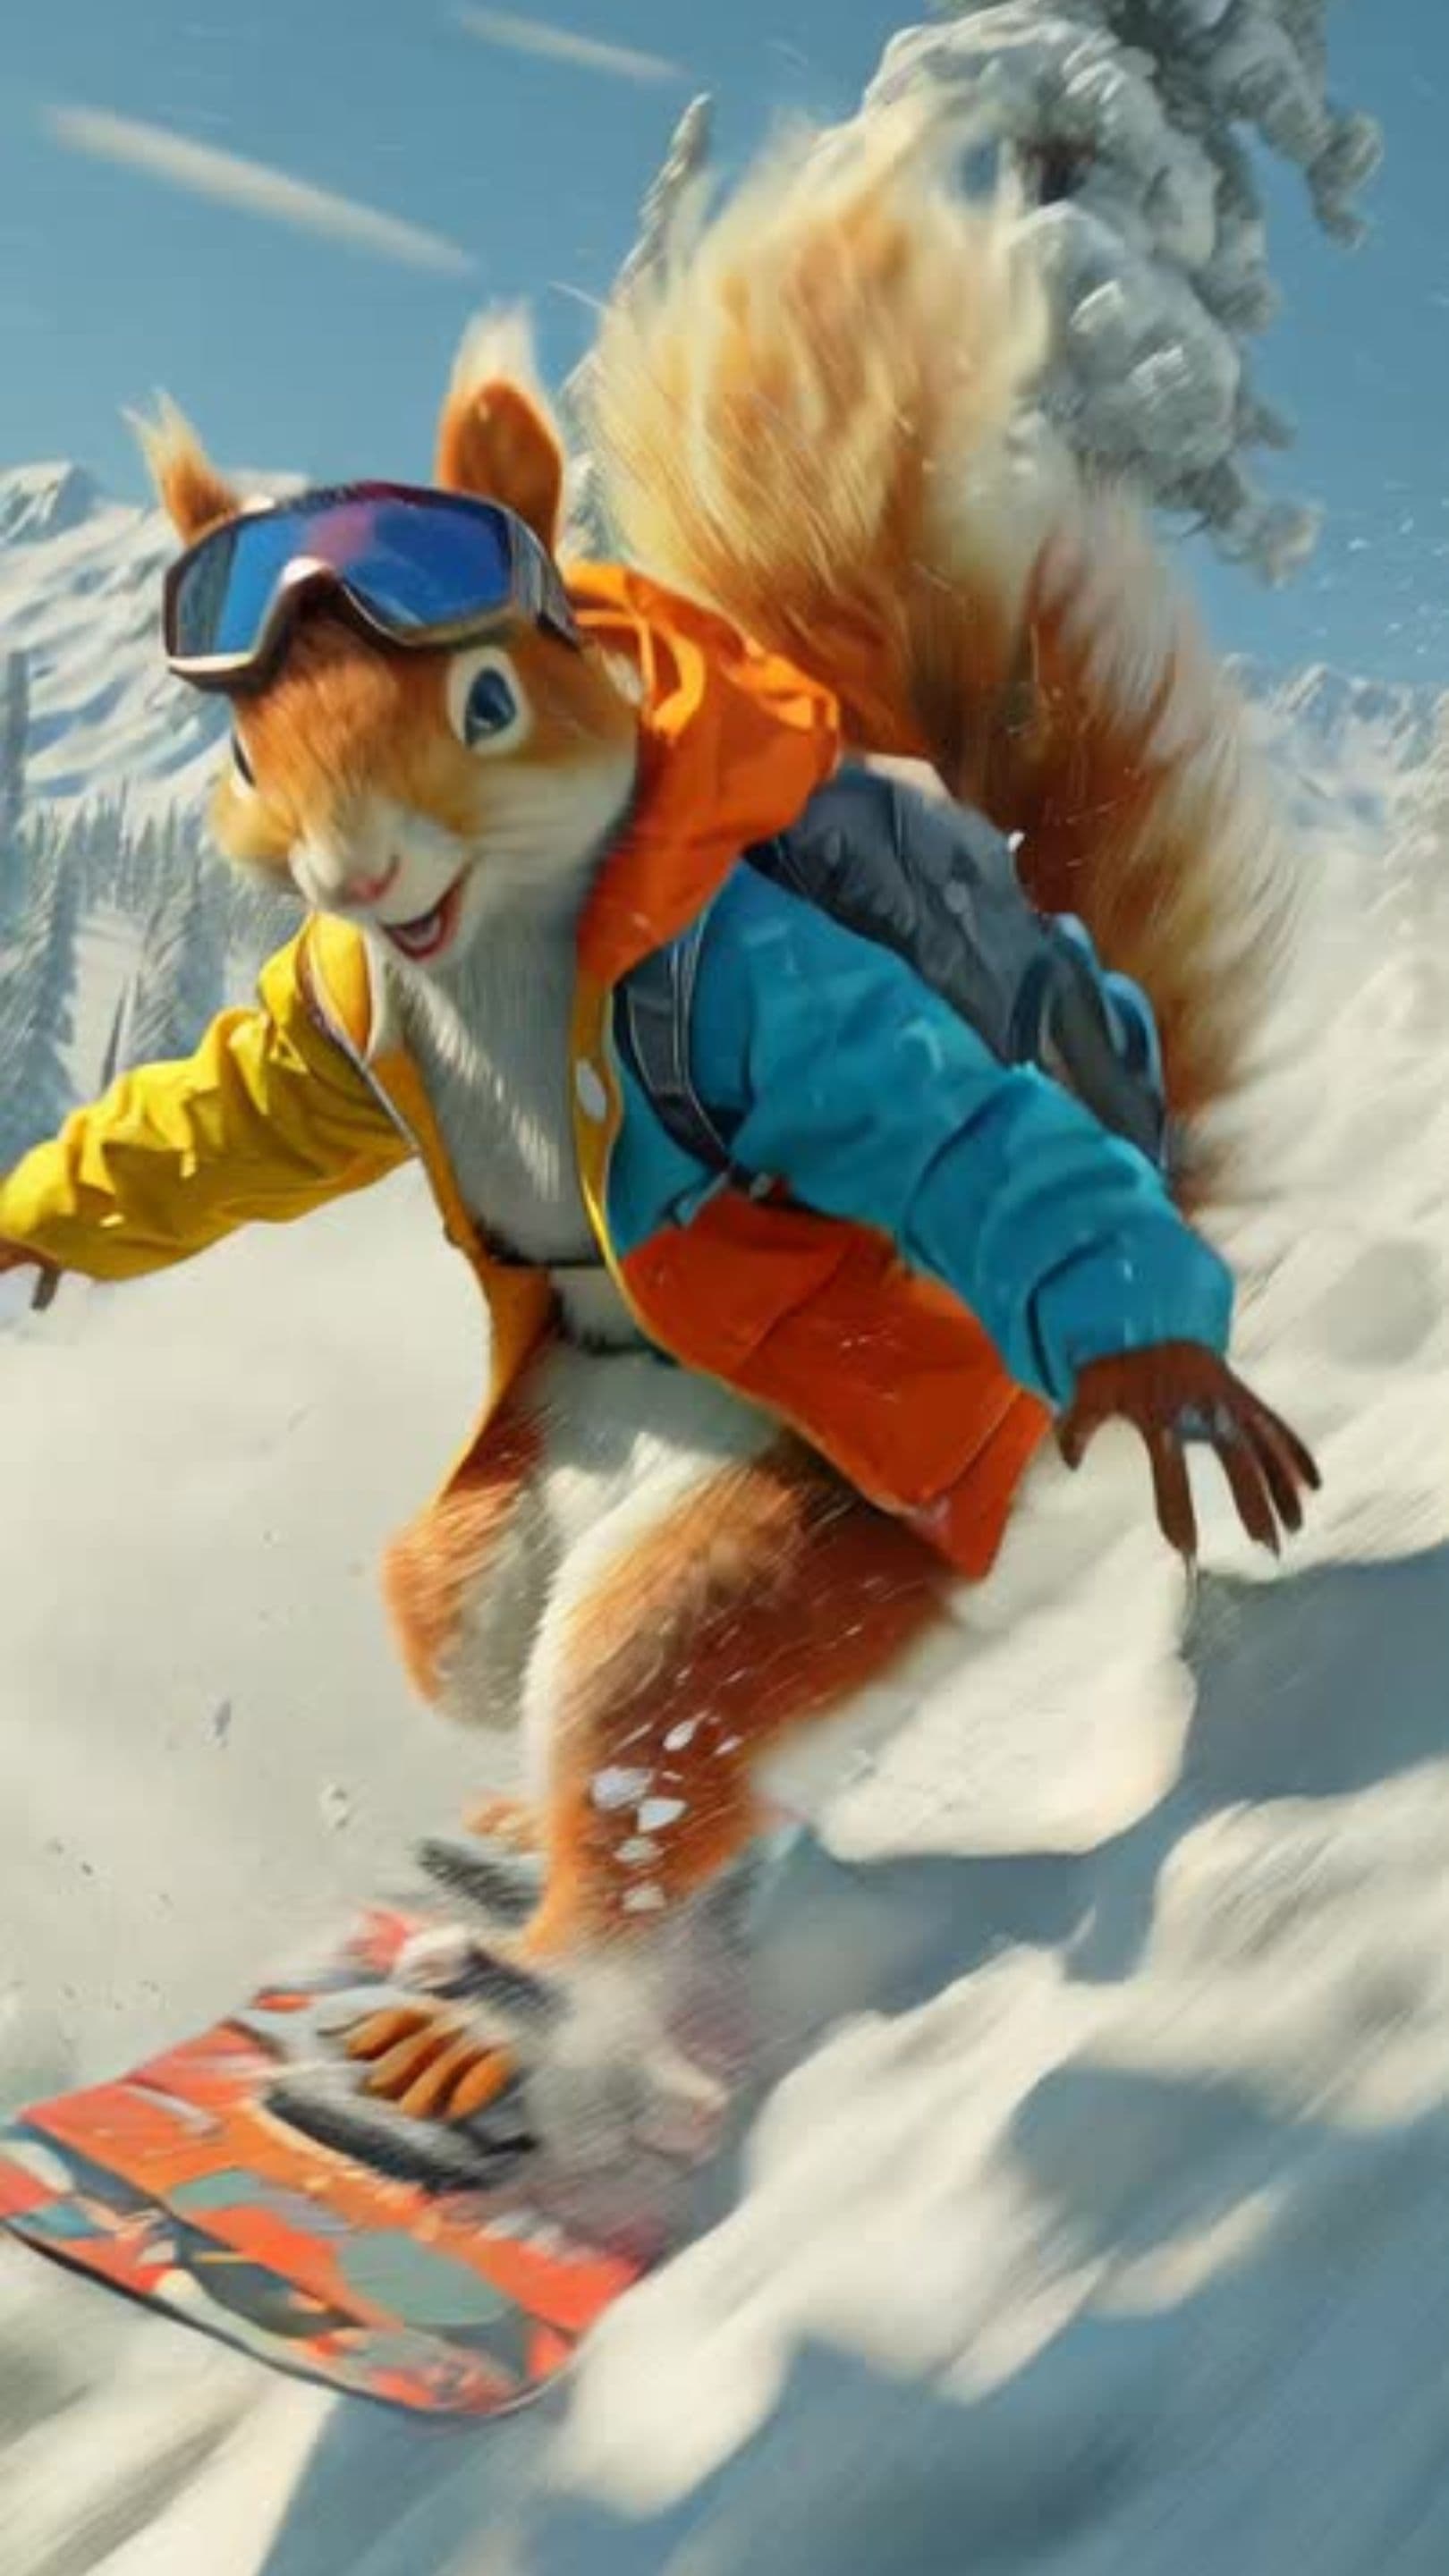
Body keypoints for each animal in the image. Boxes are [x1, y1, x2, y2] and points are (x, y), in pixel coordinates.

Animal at [0, 104, 1316, 2154]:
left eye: (485, 694)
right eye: (244, 751)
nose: (355, 869)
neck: (494, 961)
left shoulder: (760, 988)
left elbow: (954, 1135)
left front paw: (1169, 1365)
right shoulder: (333, 1015)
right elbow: (231, 1110)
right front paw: (45, 1217)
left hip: (802, 1540)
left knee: (646, 1708)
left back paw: (507, 2016)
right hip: (518, 1489)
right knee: (483, 1642)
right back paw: (505, 1855)